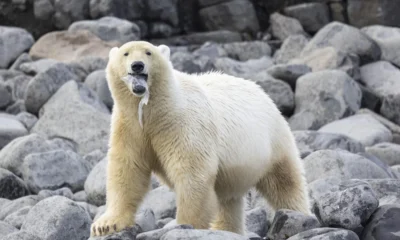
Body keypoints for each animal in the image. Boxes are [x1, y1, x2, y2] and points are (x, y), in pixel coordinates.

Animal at [90, 40, 310, 236]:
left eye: (148, 52)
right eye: (125, 53)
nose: (137, 65)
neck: (156, 110)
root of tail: (261, 91)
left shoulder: (181, 124)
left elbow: (192, 171)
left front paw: (186, 225)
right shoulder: (130, 126)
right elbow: (128, 169)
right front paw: (105, 225)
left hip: (272, 140)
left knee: (285, 182)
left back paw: (299, 215)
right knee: (228, 199)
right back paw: (225, 229)